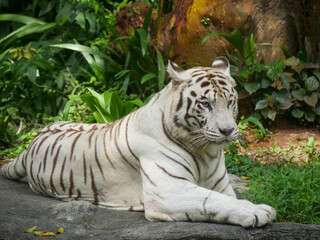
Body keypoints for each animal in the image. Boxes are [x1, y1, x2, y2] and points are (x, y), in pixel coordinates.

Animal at [1, 57, 276, 227]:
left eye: (230, 102)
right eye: (206, 104)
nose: (228, 130)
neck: (205, 152)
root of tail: (31, 144)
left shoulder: (222, 185)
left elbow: (227, 198)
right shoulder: (167, 190)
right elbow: (213, 200)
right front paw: (258, 211)